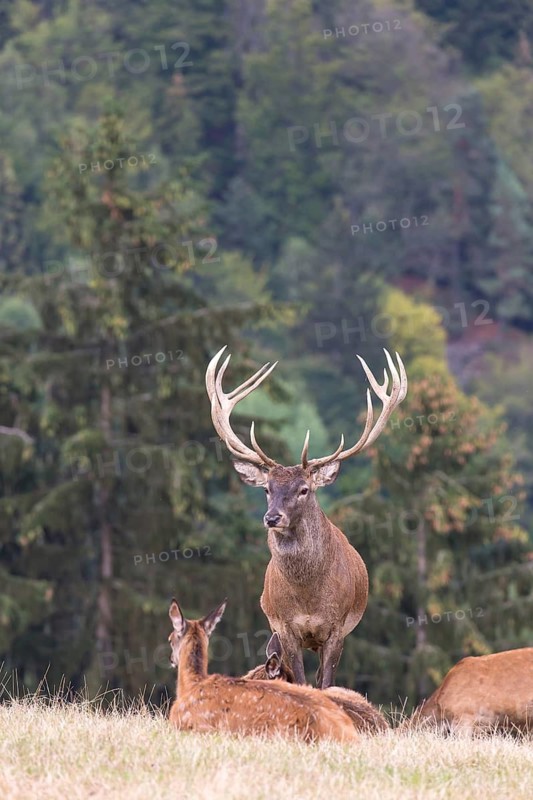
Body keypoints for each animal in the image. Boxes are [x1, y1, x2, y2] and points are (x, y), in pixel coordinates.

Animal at [205, 345, 407, 688]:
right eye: (267, 489)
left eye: (303, 489)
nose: (272, 518)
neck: (308, 598)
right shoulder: (286, 627)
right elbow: (298, 680)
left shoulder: (337, 627)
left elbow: (326, 682)